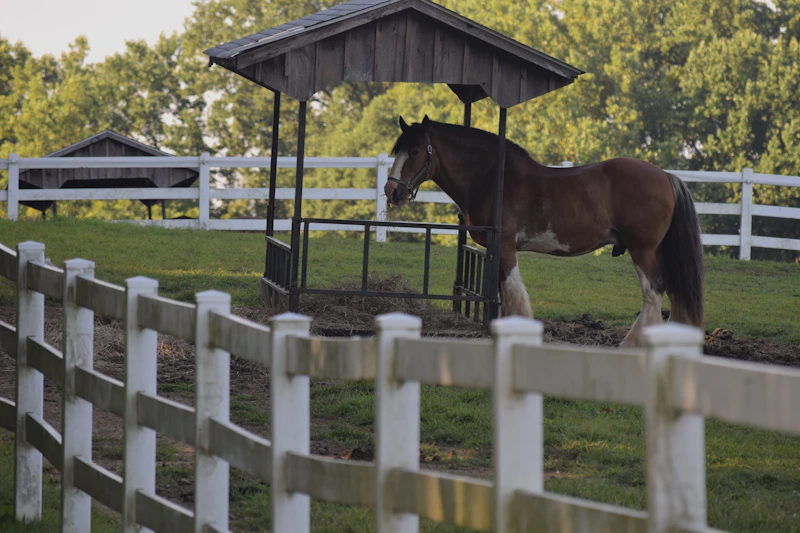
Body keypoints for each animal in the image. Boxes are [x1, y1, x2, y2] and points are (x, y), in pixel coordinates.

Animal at [384, 115, 704, 347]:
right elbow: (503, 292)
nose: (391, 191)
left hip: (643, 249)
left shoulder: (506, 246)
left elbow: (513, 291)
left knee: (654, 291)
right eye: (397, 149)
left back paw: (633, 343)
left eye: (415, 151)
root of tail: (666, 175)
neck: (493, 178)